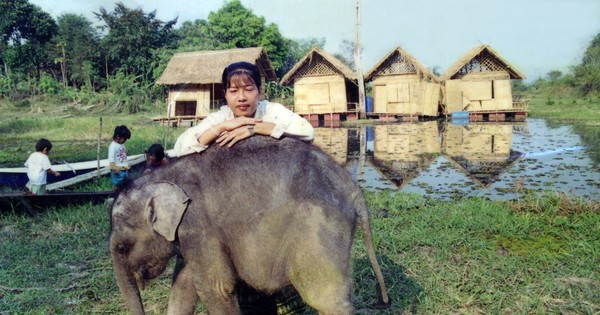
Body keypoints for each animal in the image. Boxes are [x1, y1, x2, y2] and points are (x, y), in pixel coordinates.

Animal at [109, 138, 390, 315]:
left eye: (122, 248)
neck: (162, 177)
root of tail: (353, 186)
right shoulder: (191, 236)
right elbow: (184, 286)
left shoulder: (198, 225)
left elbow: (216, 288)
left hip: (320, 228)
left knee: (326, 298)